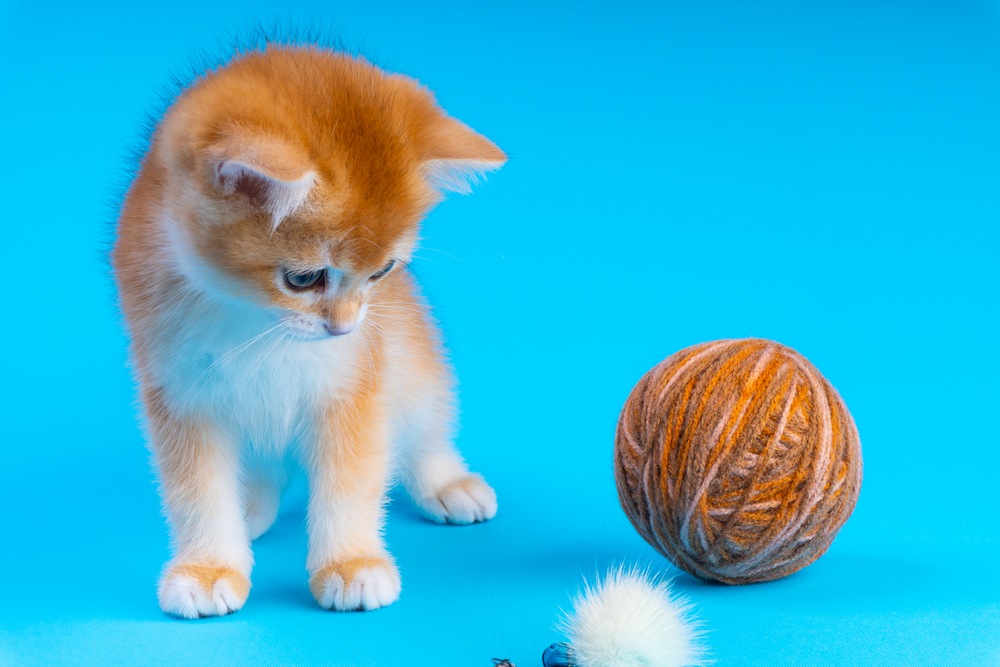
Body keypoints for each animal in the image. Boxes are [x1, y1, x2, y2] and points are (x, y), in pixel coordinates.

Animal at [113, 45, 508, 620]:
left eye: (383, 271)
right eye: (303, 279)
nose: (342, 327)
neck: (255, 319)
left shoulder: (355, 384)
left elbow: (352, 479)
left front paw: (349, 563)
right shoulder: (179, 392)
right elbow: (196, 489)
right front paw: (208, 568)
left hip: (415, 359)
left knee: (423, 424)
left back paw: (446, 481)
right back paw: (250, 505)